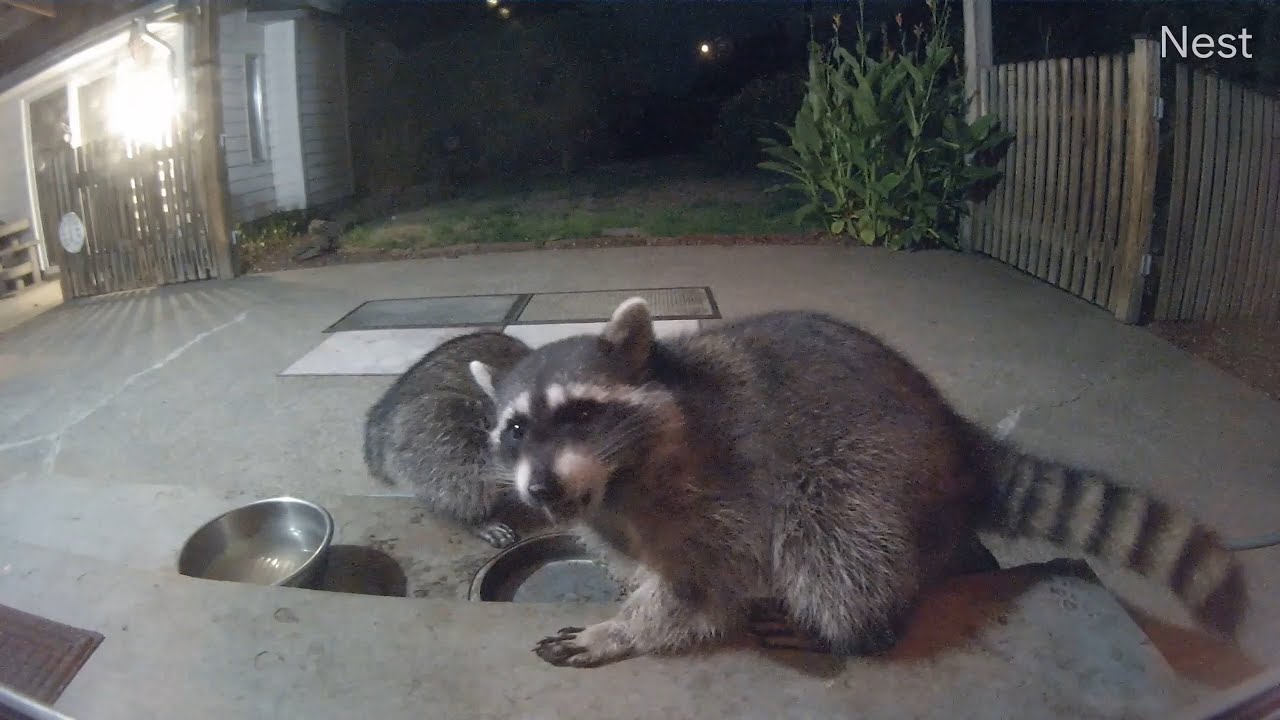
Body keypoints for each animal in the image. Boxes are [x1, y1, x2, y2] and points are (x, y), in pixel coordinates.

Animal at [469, 298, 1249, 668]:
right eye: (515, 429)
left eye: (581, 412)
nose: (541, 491)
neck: (617, 481)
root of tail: (960, 441)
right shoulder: (614, 515)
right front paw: (628, 596)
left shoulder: (717, 486)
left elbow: (705, 587)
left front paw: (626, 630)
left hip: (873, 465)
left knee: (834, 537)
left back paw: (852, 627)